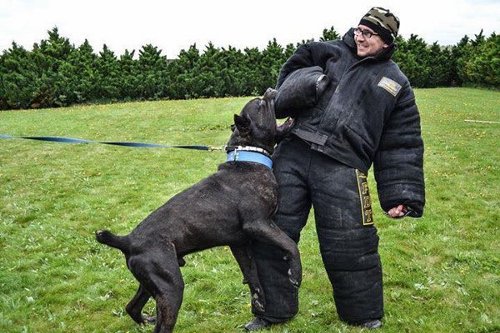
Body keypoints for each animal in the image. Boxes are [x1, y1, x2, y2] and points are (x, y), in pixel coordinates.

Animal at [96, 89, 302, 332]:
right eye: (260, 104)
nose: (270, 91)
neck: (248, 156)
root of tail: (128, 241)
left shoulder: (240, 243)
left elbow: (252, 273)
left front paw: (259, 301)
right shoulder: (259, 224)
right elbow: (288, 244)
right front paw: (295, 274)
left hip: (151, 283)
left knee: (131, 306)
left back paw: (144, 319)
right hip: (171, 287)